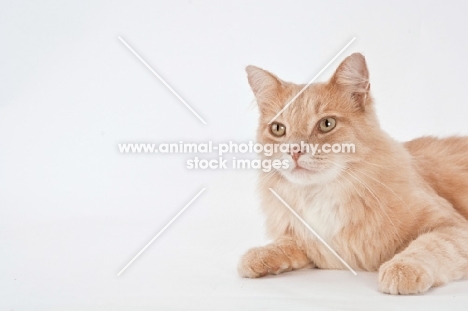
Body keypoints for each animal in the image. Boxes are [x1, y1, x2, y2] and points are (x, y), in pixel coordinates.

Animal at [239, 53, 468, 294]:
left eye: (326, 124)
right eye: (278, 129)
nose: (294, 150)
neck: (322, 193)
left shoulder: (452, 226)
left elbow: (429, 246)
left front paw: (402, 268)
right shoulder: (313, 245)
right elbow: (286, 243)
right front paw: (259, 255)